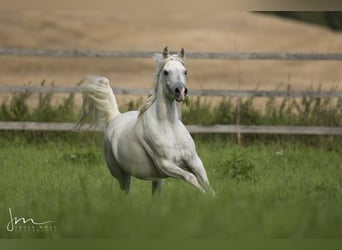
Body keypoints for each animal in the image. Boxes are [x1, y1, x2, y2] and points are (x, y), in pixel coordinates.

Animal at [78, 47, 214, 195]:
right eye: (166, 72)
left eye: (185, 71)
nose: (181, 91)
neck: (169, 127)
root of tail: (115, 117)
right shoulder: (166, 165)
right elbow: (192, 178)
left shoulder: (195, 161)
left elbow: (207, 184)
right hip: (122, 176)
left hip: (157, 180)